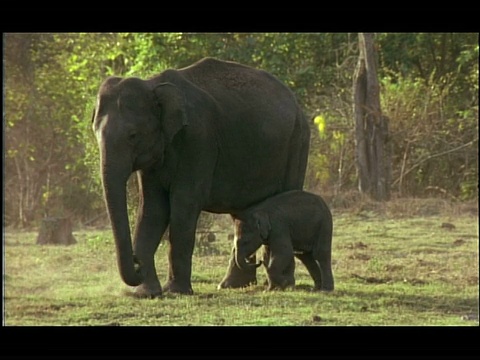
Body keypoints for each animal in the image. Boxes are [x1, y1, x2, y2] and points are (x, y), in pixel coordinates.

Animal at [92, 57, 312, 296]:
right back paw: (232, 285)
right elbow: (152, 208)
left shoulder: (198, 140)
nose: (136, 263)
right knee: (245, 213)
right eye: (96, 133)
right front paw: (146, 293)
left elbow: (183, 204)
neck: (153, 85)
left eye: (133, 135)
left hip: (298, 141)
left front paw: (175, 291)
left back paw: (281, 286)